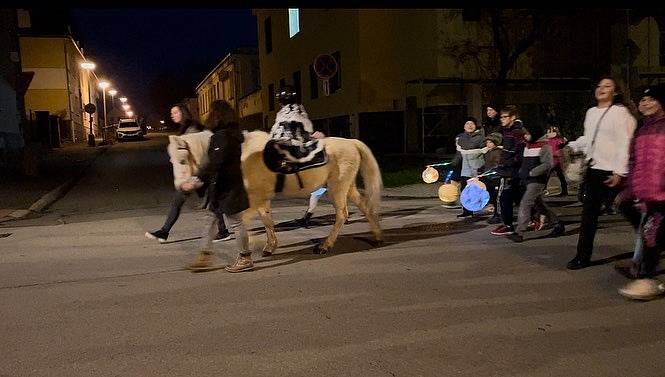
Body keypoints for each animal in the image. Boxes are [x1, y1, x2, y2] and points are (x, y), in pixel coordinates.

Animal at [169, 130, 382, 256]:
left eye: (182, 160)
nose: (181, 187)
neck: (239, 156)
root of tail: (352, 142)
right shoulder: (261, 200)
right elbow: (267, 221)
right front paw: (269, 246)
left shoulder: (255, 199)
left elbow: (246, 221)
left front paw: (253, 245)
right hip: (347, 188)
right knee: (365, 207)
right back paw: (377, 236)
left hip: (337, 188)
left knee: (342, 215)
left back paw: (326, 245)